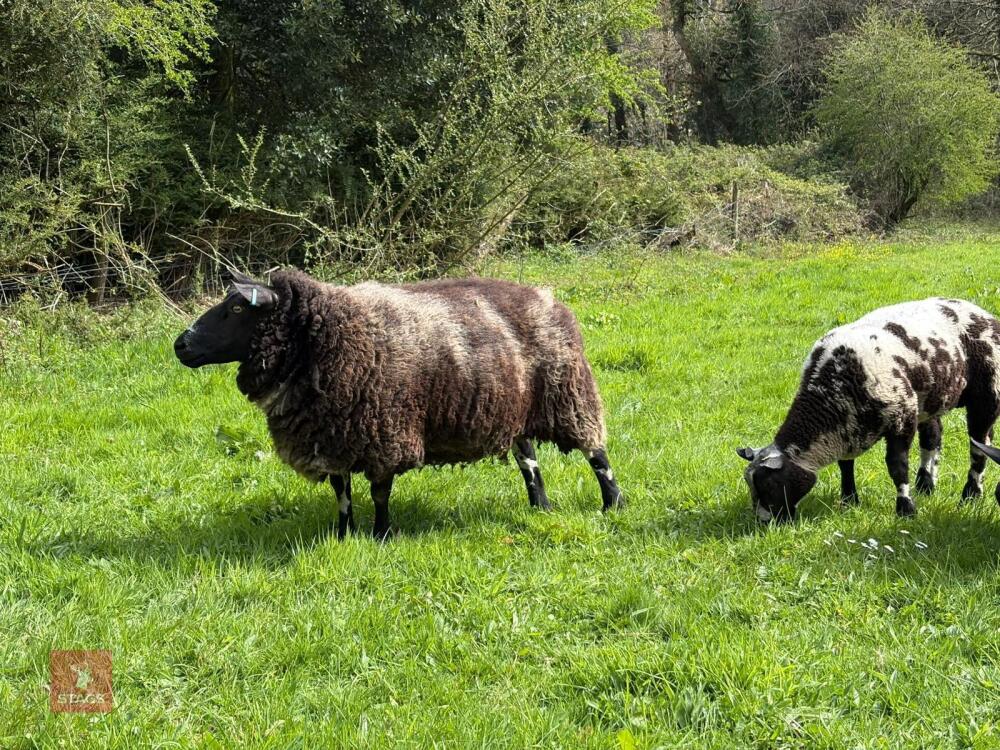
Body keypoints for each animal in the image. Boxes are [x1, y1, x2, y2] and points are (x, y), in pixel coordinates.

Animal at [174, 269, 624, 539]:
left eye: (236, 307)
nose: (180, 345)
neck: (329, 334)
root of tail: (546, 296)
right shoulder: (333, 435)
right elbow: (341, 491)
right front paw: (343, 534)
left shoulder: (384, 431)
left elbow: (379, 492)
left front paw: (381, 535)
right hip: (512, 407)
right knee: (528, 458)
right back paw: (540, 506)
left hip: (570, 393)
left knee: (596, 452)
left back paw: (613, 505)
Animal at [737, 298, 1000, 522]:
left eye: (770, 485)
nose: (765, 522)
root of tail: (985, 314)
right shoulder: (849, 428)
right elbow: (845, 464)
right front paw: (849, 500)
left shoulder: (902, 417)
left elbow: (897, 467)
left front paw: (906, 509)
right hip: (930, 399)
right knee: (933, 437)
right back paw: (926, 486)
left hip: (987, 396)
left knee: (978, 447)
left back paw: (971, 495)